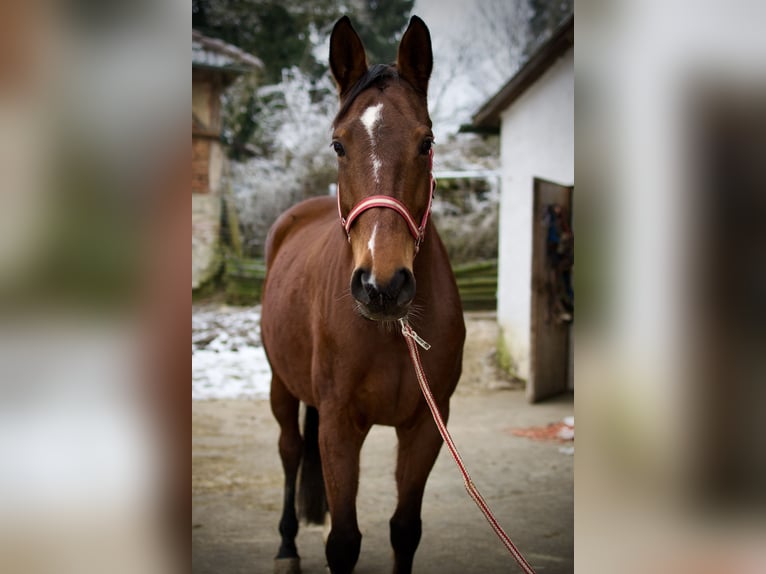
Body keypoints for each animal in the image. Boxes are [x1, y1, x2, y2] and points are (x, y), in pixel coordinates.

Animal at [261, 15, 465, 574]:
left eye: (426, 142)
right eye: (338, 145)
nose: (383, 286)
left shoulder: (425, 427)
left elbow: (404, 529)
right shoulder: (338, 424)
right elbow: (344, 542)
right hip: (281, 386)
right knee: (290, 451)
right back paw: (286, 546)